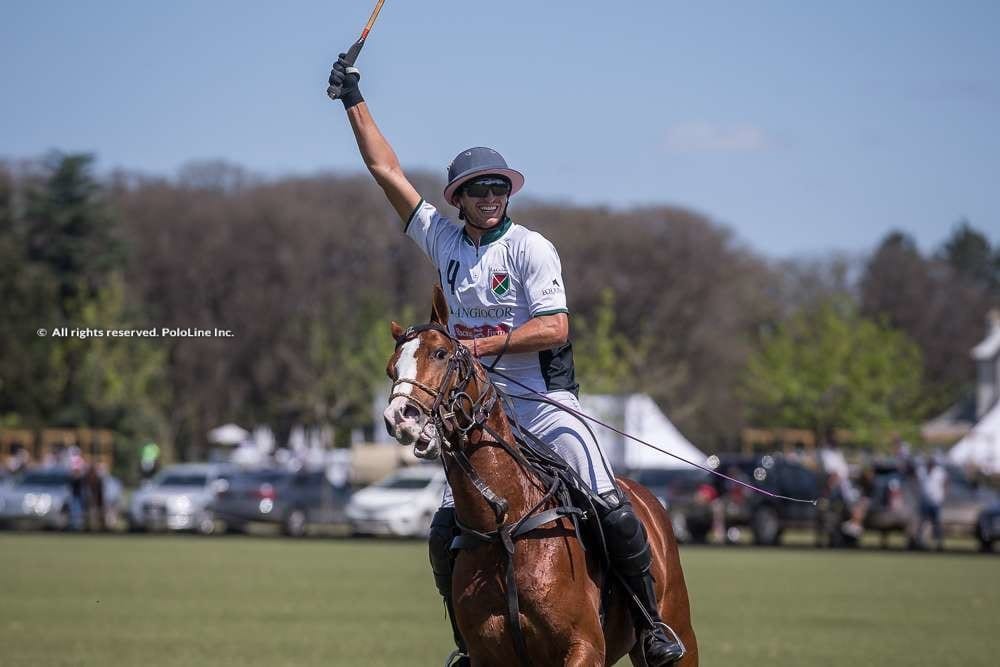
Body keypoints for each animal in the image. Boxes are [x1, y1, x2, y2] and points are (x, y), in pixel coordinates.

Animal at [386, 290, 700, 667]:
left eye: (440, 353)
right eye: (391, 368)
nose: (399, 417)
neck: (505, 526)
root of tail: (645, 495)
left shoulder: (585, 647)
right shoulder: (486, 656)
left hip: (680, 633)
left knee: (619, 518)